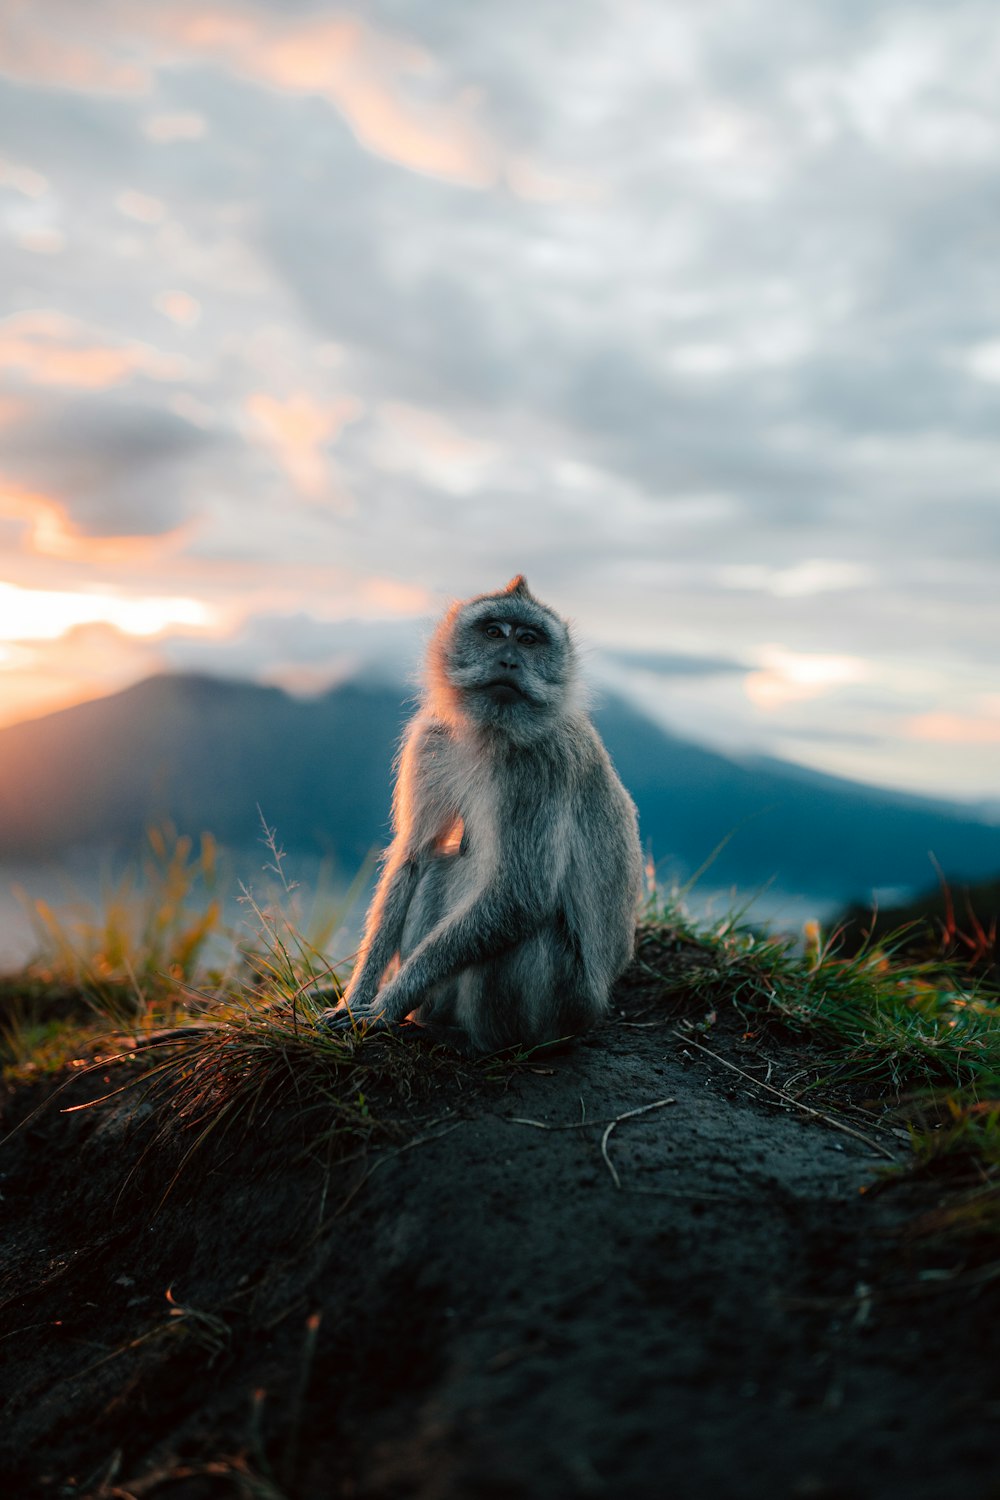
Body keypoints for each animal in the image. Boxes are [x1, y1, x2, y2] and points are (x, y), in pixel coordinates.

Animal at [322, 573, 650, 1056]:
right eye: (494, 632)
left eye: (529, 639)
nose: (509, 661)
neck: (490, 732)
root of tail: (594, 1011)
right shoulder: (431, 740)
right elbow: (413, 857)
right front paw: (357, 994)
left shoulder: (541, 766)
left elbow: (520, 894)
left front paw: (386, 1005)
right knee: (437, 868)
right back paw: (432, 1019)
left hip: (562, 1009)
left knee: (529, 929)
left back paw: (477, 1041)